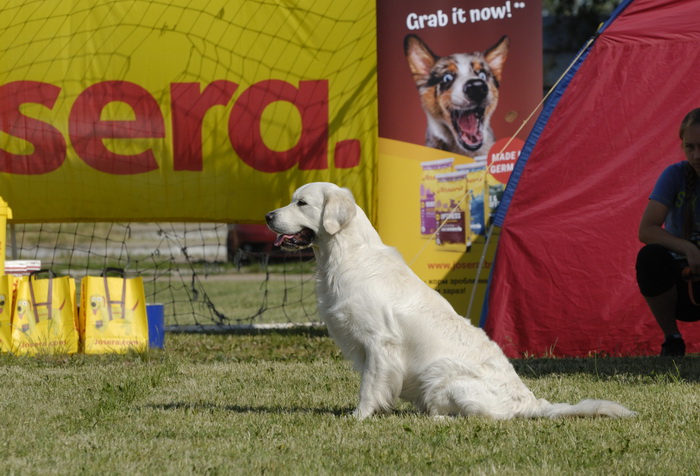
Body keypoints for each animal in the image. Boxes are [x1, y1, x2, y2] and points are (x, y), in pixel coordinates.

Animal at [266, 183, 636, 420]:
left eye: (302, 203)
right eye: (291, 200)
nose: (268, 216)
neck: (346, 254)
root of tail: (530, 402)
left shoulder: (380, 343)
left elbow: (369, 386)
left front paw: (358, 417)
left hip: (441, 374)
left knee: (477, 416)